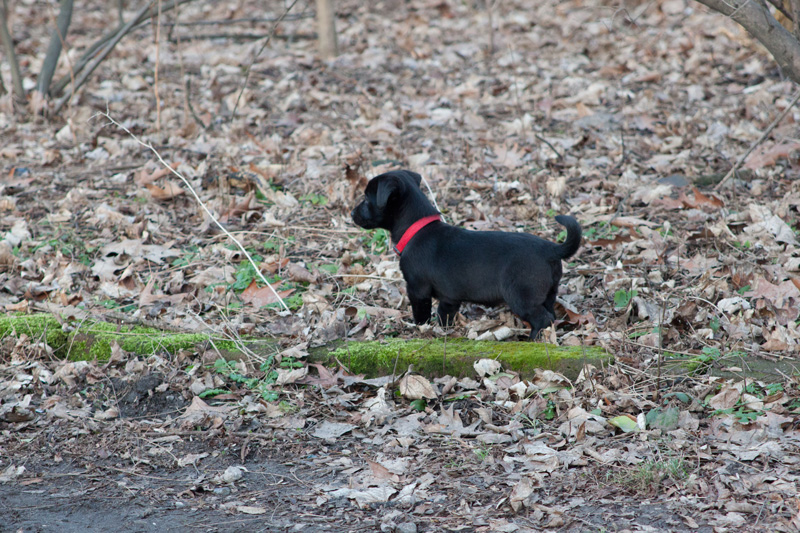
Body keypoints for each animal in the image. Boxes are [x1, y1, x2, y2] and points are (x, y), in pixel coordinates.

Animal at [350, 168, 580, 338]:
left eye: (367, 199)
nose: (351, 213)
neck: (417, 228)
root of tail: (551, 249)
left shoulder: (417, 289)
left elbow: (422, 314)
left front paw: (420, 330)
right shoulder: (449, 298)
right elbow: (444, 316)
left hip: (522, 298)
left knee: (542, 319)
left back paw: (532, 341)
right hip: (548, 293)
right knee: (550, 315)